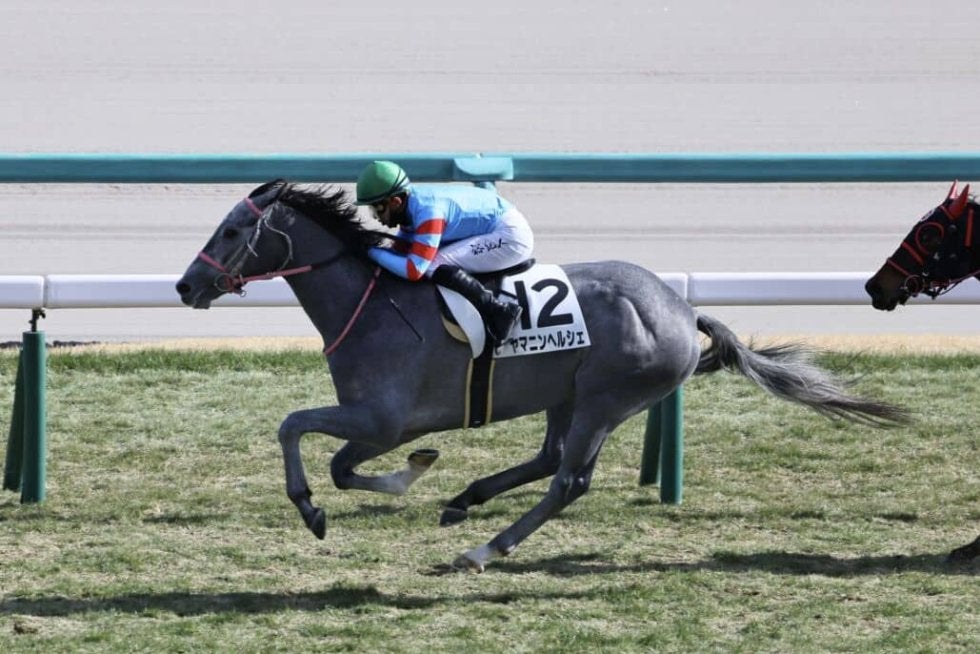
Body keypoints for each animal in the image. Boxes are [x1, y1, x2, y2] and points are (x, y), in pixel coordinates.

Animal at [177, 180, 907, 572]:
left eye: (233, 230)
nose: (185, 286)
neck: (370, 301)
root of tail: (681, 308)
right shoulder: (379, 423)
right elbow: (336, 463)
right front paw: (413, 476)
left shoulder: (383, 418)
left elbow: (297, 432)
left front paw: (317, 508)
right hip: (569, 392)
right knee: (550, 457)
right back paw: (464, 500)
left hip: (606, 399)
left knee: (569, 479)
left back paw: (485, 547)